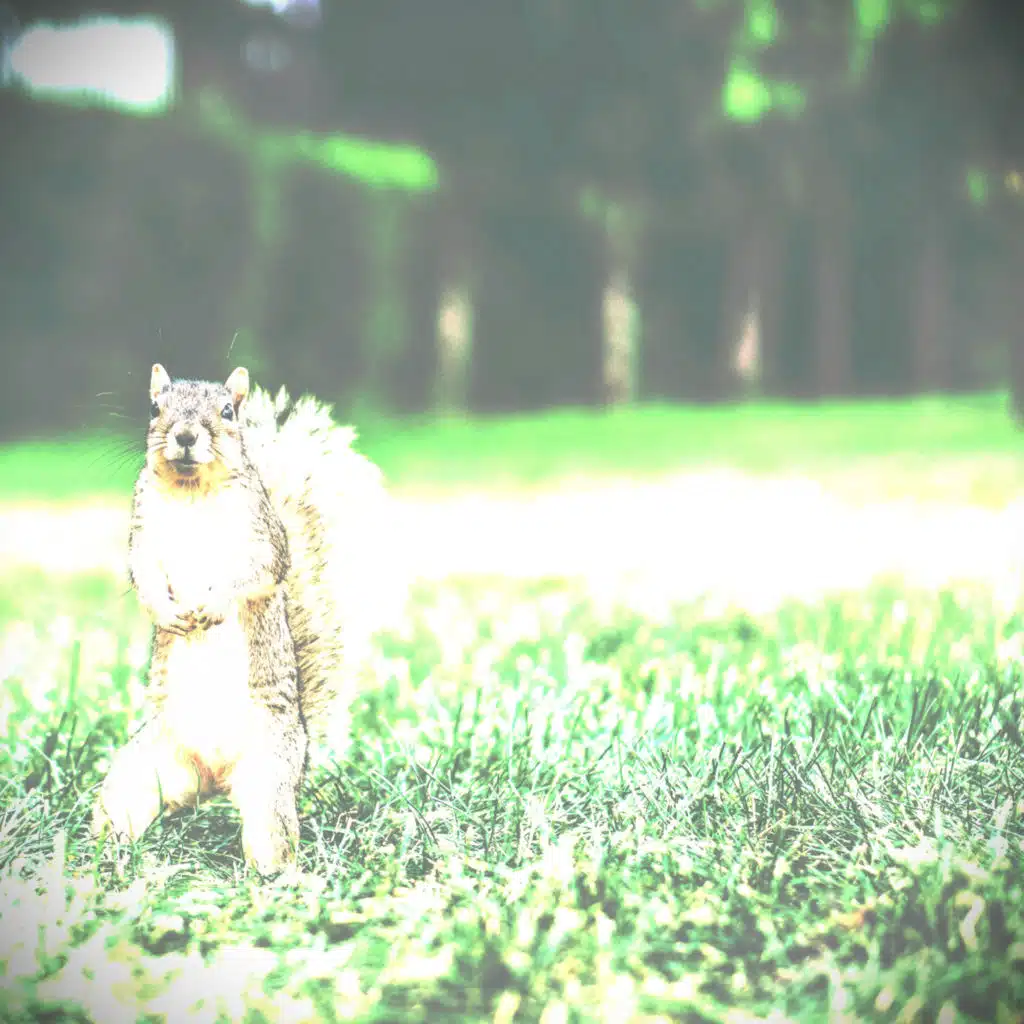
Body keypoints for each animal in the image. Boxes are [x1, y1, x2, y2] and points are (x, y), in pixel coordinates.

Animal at [92, 363, 394, 876]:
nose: (185, 436)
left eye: (228, 412)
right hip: (144, 767)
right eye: (154, 408)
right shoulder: (144, 533)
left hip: (270, 773)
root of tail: (214, 776)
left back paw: (274, 876)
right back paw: (100, 854)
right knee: (123, 804)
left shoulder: (261, 538)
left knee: (272, 835)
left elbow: (258, 572)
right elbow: (143, 574)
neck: (192, 490)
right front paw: (167, 612)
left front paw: (212, 605)